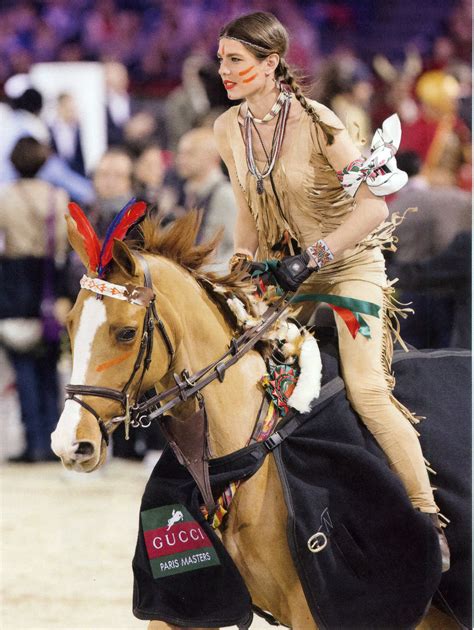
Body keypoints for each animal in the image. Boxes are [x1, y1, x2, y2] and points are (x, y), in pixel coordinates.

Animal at [50, 211, 468, 630]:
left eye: (126, 332)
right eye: (70, 323)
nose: (70, 443)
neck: (243, 447)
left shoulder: (315, 609)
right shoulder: (186, 605)